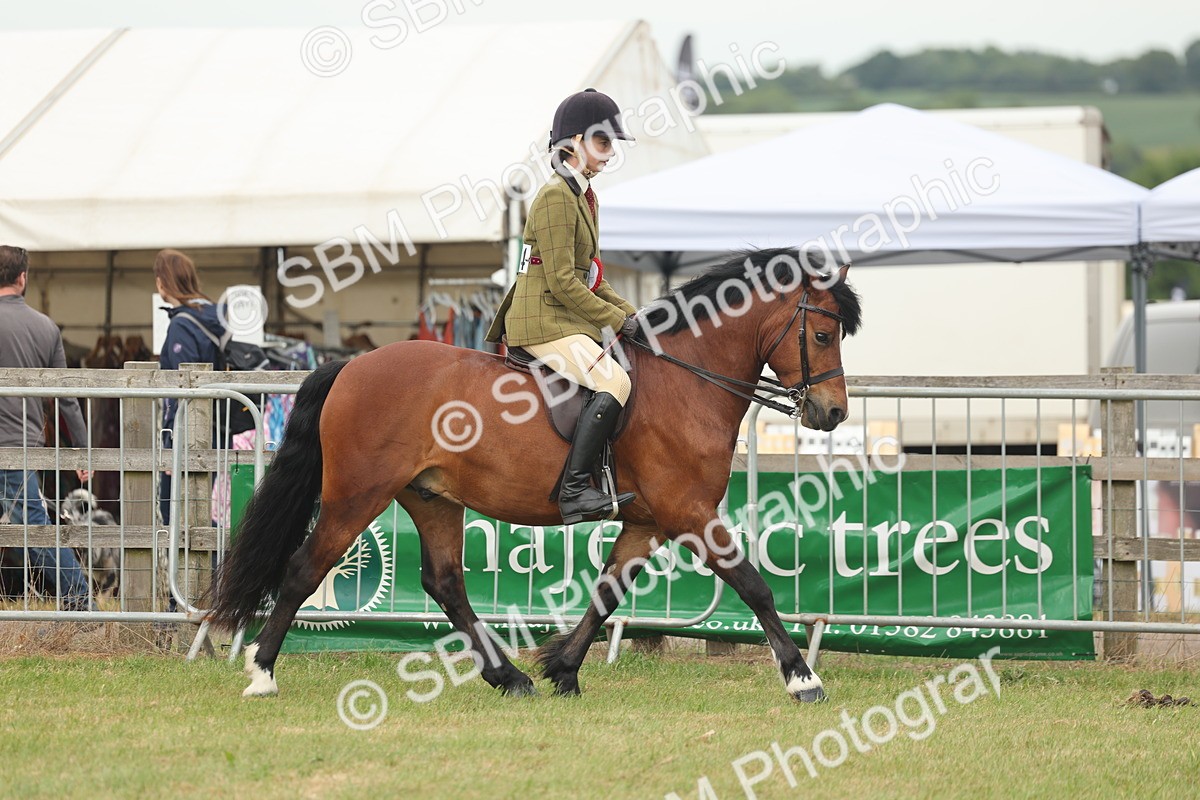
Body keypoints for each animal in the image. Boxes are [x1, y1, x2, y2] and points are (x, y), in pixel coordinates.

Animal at [208, 247, 862, 703]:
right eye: (822, 333)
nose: (832, 414)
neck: (687, 379)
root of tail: (350, 366)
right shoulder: (691, 513)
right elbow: (754, 586)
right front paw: (802, 679)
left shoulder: (648, 522)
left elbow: (606, 594)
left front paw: (562, 671)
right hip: (356, 494)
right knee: (304, 569)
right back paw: (261, 674)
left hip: (432, 497)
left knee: (445, 582)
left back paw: (508, 677)